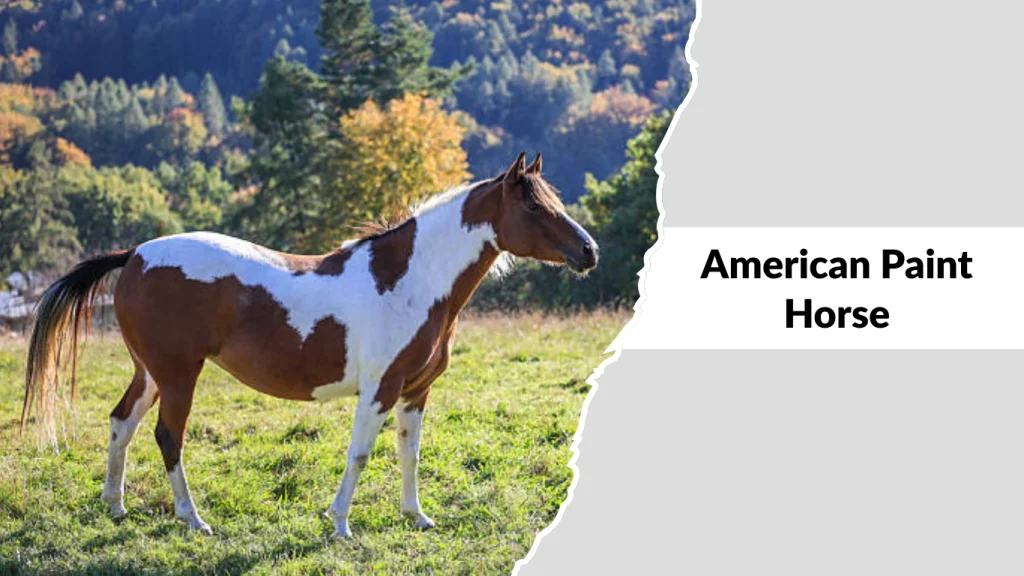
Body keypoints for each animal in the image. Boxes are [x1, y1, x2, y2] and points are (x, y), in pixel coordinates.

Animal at [22, 152, 598, 538]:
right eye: (533, 207)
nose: (589, 251)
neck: (407, 280)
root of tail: (136, 255)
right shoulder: (380, 390)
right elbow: (360, 454)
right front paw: (340, 523)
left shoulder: (415, 392)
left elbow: (409, 453)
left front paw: (416, 516)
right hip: (179, 375)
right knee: (169, 437)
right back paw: (193, 519)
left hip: (150, 374)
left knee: (122, 422)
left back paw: (115, 505)